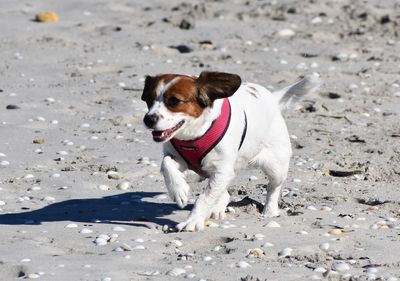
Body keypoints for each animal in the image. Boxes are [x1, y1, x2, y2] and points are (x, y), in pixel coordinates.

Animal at [141, 71, 318, 231]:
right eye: (148, 100)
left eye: (174, 101)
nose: (148, 119)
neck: (194, 136)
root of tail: (272, 98)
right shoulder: (179, 158)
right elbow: (166, 163)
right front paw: (179, 190)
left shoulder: (222, 170)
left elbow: (204, 198)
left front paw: (192, 221)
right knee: (224, 193)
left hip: (276, 166)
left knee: (273, 187)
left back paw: (270, 210)